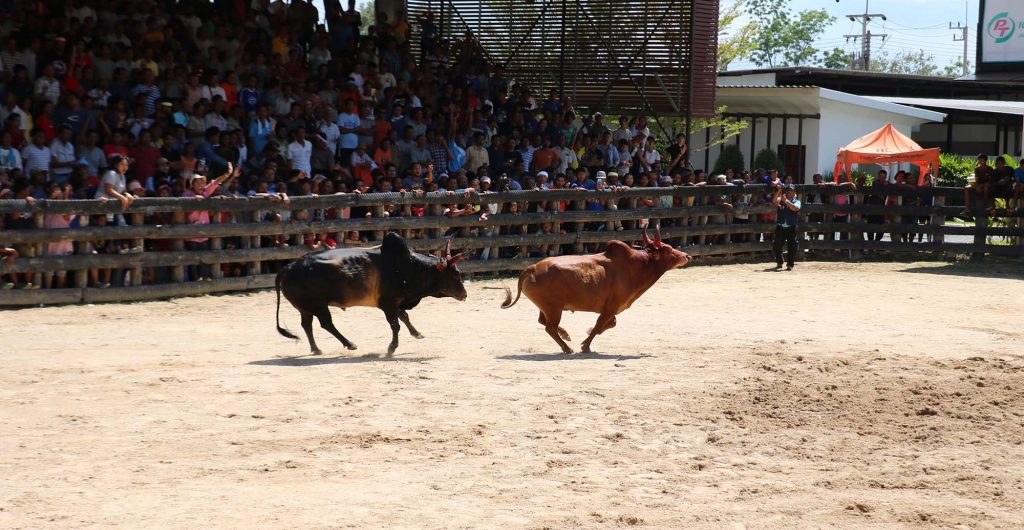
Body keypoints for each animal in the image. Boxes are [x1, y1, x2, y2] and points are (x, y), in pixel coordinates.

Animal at [272, 234, 464, 356]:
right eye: (455, 274)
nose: (464, 294)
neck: (409, 266)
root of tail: (287, 268)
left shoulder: (396, 303)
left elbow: (404, 317)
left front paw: (417, 334)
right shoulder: (388, 303)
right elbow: (395, 325)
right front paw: (391, 348)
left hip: (305, 307)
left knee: (307, 325)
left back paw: (316, 349)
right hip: (317, 305)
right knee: (326, 323)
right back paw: (350, 344)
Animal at [501, 227, 692, 356]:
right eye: (668, 249)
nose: (686, 256)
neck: (636, 266)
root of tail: (531, 268)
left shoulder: (611, 309)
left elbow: (608, 324)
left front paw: (586, 335)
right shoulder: (611, 307)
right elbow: (600, 325)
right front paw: (585, 345)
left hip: (547, 307)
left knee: (544, 322)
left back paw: (566, 336)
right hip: (553, 308)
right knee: (550, 327)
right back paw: (567, 347)